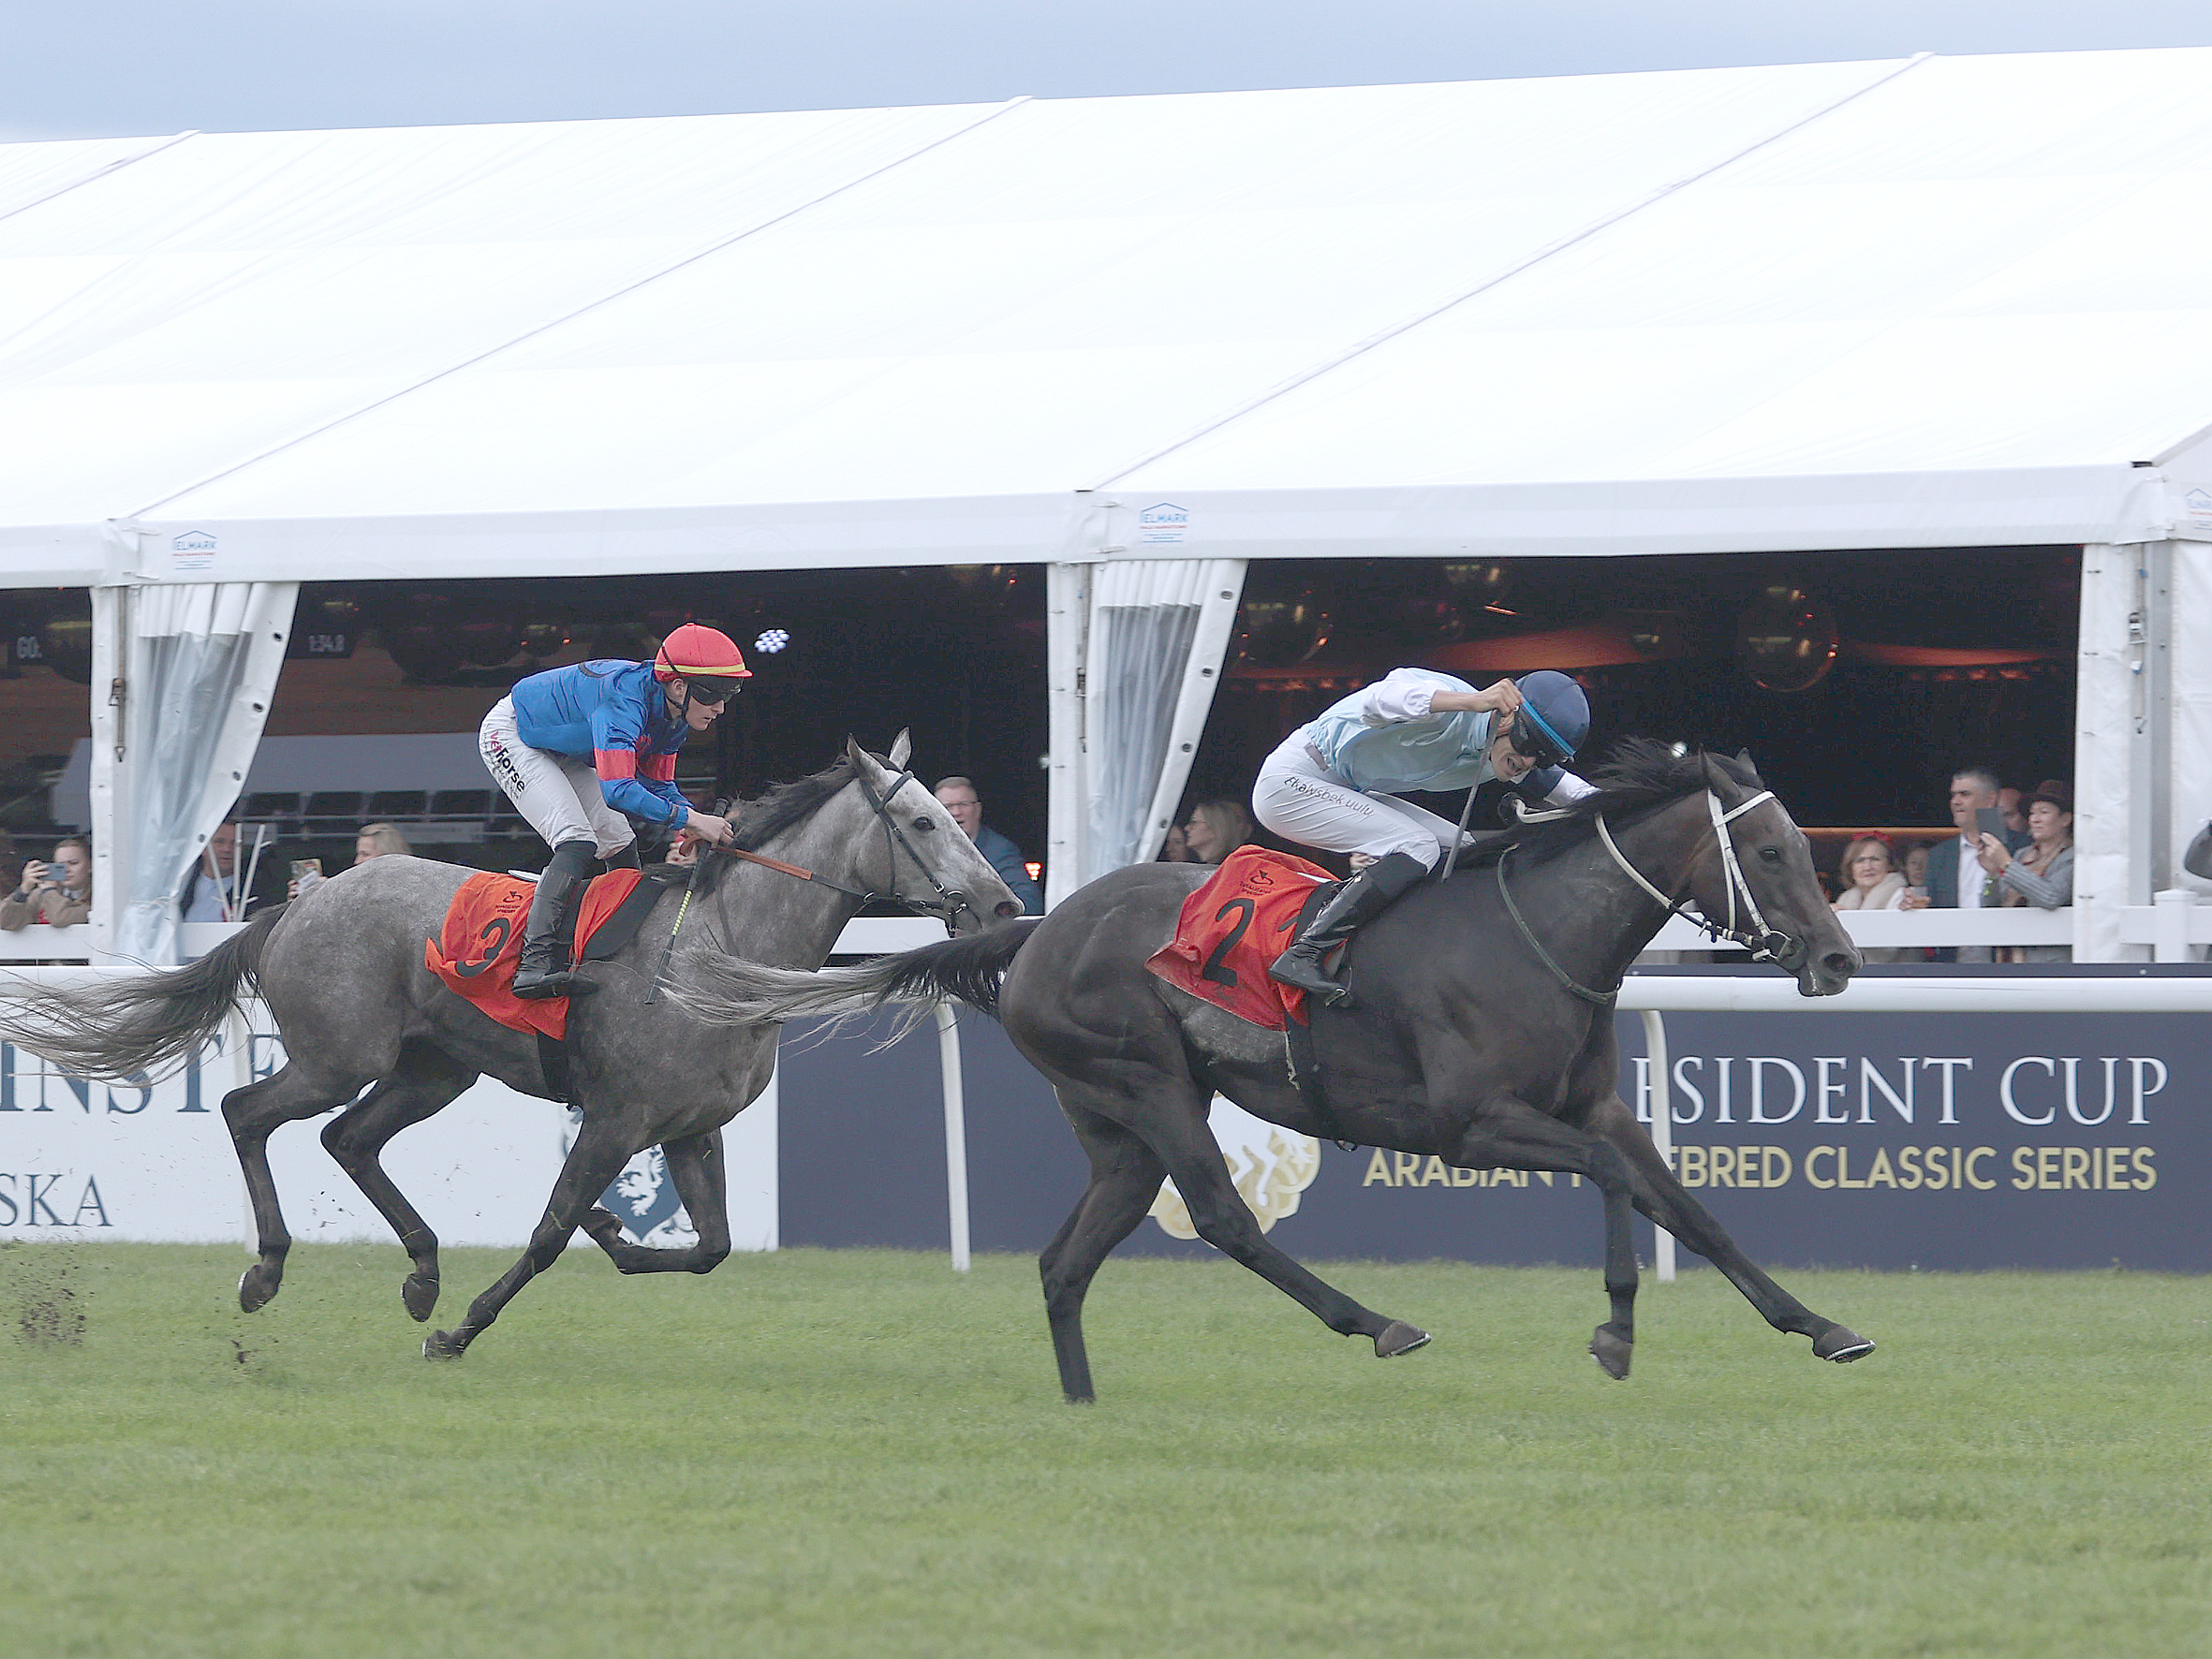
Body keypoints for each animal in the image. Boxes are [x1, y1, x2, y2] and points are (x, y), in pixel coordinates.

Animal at [0, 735, 1019, 1360]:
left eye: (953, 814)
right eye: (922, 822)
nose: (1004, 902)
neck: (718, 946)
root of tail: (300, 899)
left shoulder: (692, 1128)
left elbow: (711, 1247)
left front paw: (612, 1233)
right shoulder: (616, 1118)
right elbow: (548, 1231)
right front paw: (461, 1331)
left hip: (433, 1068)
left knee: (348, 1139)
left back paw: (421, 1270)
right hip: (340, 1055)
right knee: (246, 1110)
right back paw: (270, 1267)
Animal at [674, 742, 1875, 1401]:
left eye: (1807, 846)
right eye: (1770, 851)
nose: (1836, 958)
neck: (1536, 933)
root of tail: (1037, 924)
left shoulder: (1598, 1107)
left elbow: (1687, 1203)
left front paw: (1823, 1325)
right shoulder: (1473, 1125)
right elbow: (1617, 1181)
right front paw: (1617, 1331)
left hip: (1117, 1124)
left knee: (1066, 1263)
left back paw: (1083, 1400)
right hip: (1149, 1081)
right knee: (1221, 1218)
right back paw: (1378, 1320)